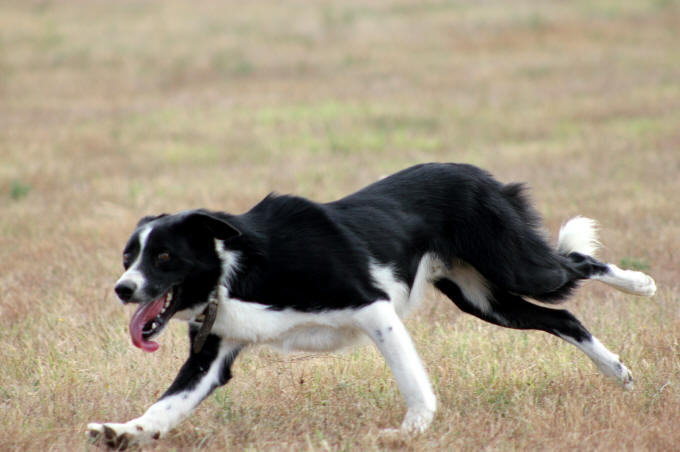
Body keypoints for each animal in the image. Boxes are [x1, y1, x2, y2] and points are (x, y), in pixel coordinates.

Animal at [87, 163, 656, 448]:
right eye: (128, 257)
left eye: (164, 257)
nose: (122, 289)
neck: (236, 272)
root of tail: (479, 173)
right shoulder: (213, 352)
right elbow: (165, 406)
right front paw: (121, 432)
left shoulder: (373, 307)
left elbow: (412, 380)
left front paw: (410, 432)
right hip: (484, 300)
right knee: (563, 316)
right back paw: (617, 371)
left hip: (516, 267)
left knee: (577, 264)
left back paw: (641, 284)